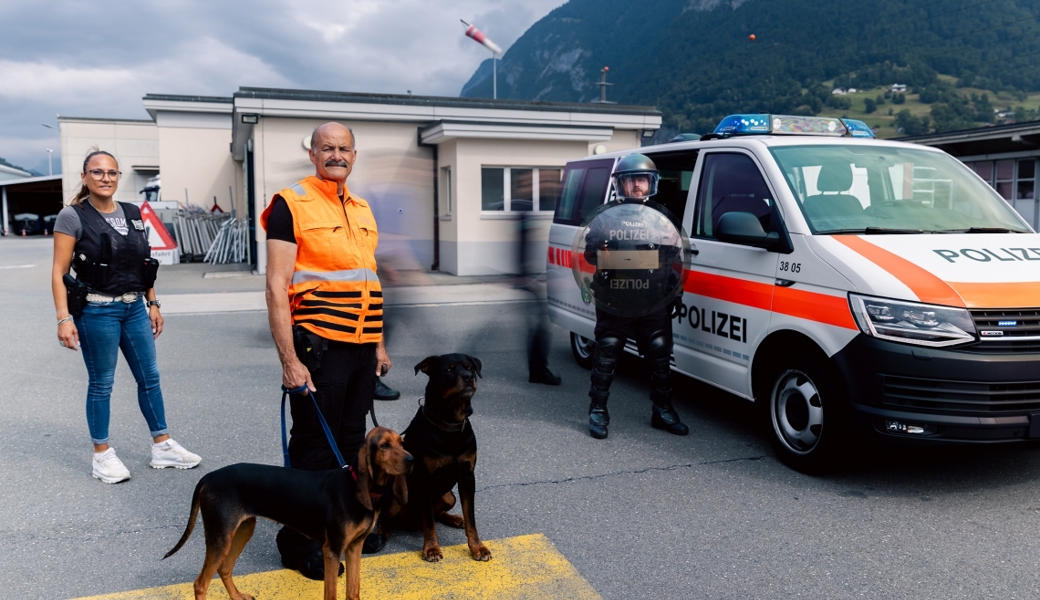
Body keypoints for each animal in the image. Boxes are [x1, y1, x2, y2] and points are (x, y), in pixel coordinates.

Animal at [164, 426, 411, 598]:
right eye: (384, 446)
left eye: (401, 442)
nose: (412, 459)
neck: (356, 487)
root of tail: (208, 477)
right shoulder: (332, 550)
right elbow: (331, 594)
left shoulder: (354, 547)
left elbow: (353, 591)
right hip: (220, 537)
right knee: (200, 584)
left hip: (243, 530)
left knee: (224, 569)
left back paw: (237, 596)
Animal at [386, 353, 490, 557]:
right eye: (448, 369)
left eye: (470, 368)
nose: (468, 377)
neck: (449, 425)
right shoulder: (425, 479)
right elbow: (429, 521)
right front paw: (432, 549)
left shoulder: (467, 476)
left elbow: (471, 518)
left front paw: (478, 547)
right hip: (396, 494)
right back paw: (380, 534)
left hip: (449, 496)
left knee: (438, 514)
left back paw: (455, 519)